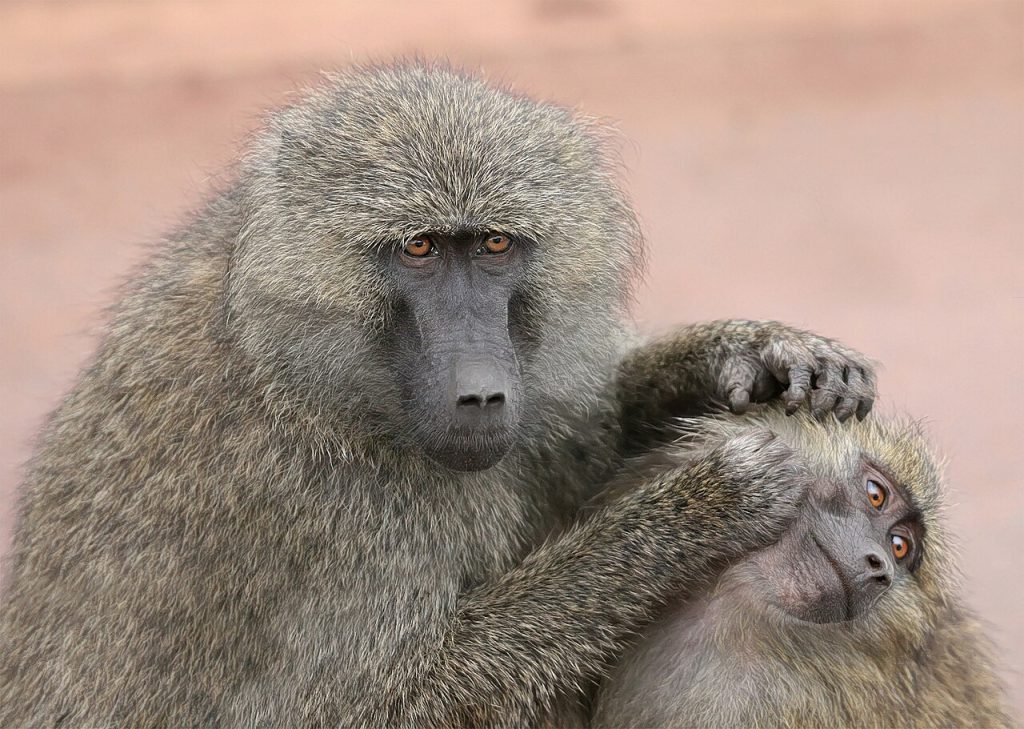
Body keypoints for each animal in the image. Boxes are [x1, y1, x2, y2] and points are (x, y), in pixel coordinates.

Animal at [0, 63, 877, 728]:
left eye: (493, 245)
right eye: (418, 249)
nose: (481, 393)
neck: (287, 359)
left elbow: (576, 437)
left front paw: (750, 353)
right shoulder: (322, 503)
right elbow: (367, 709)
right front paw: (696, 508)